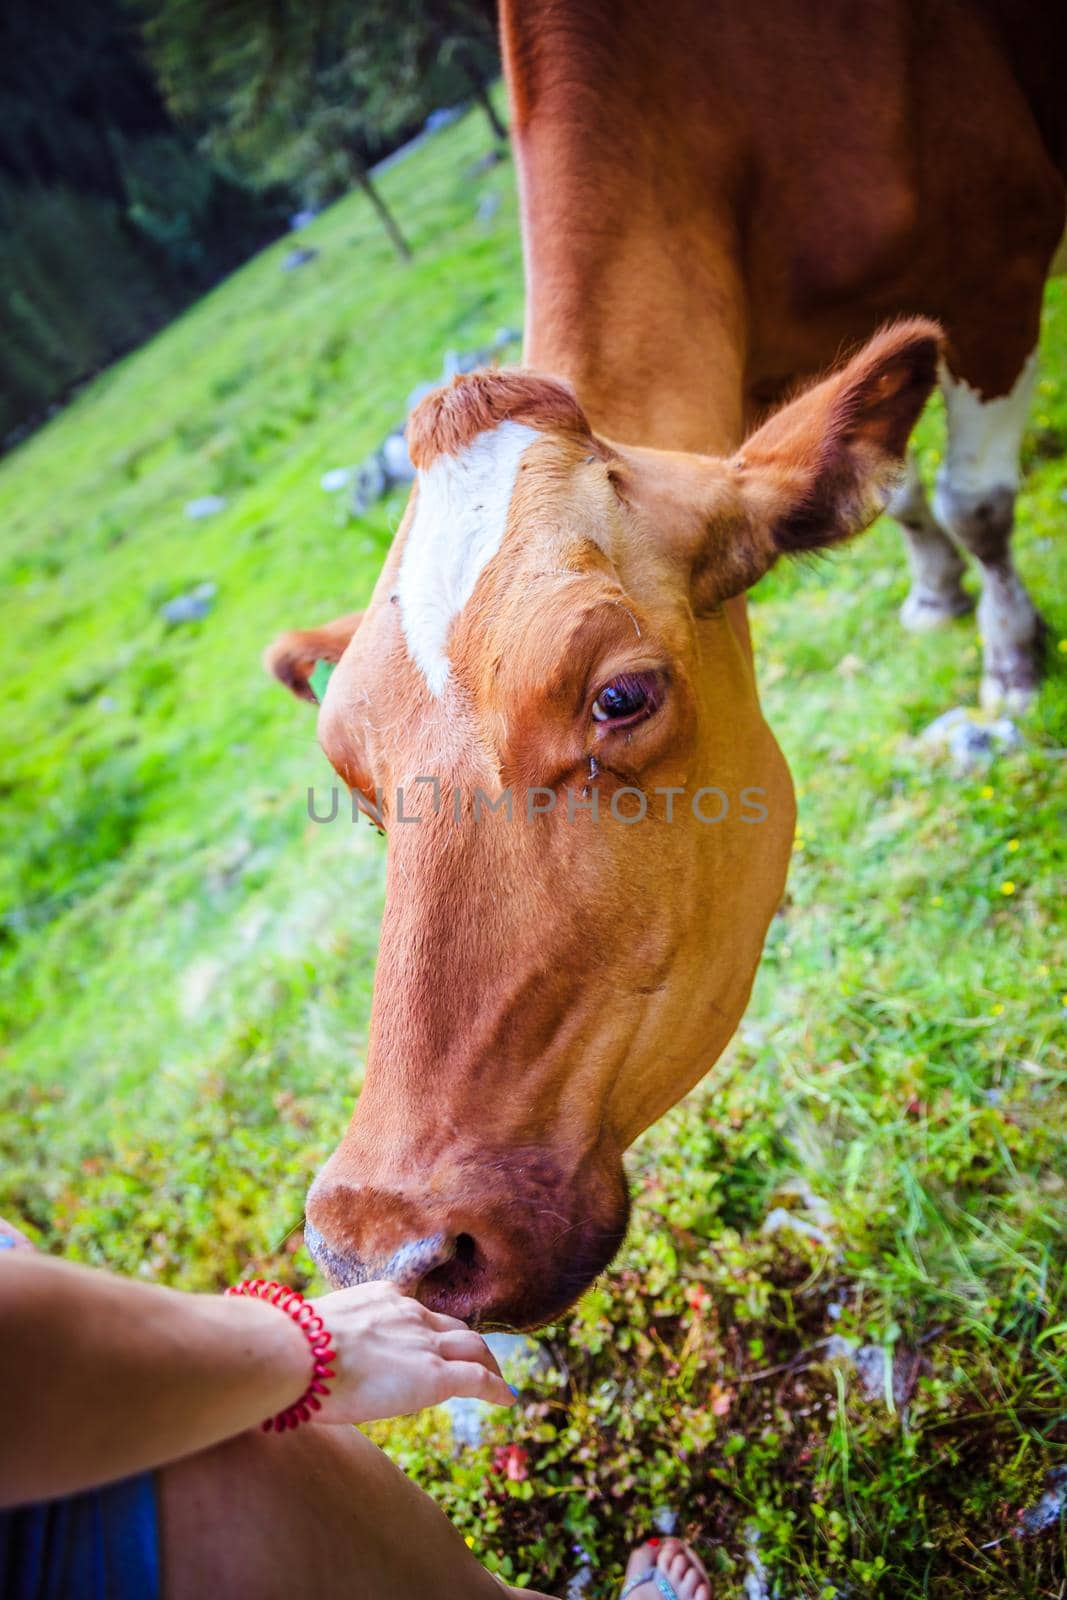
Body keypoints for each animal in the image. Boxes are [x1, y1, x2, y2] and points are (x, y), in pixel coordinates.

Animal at [267, 0, 1067, 1324]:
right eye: (352, 780)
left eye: (619, 696)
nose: (386, 1247)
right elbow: (897, 489)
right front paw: (933, 597)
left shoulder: (993, 259)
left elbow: (972, 496)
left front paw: (1005, 656)